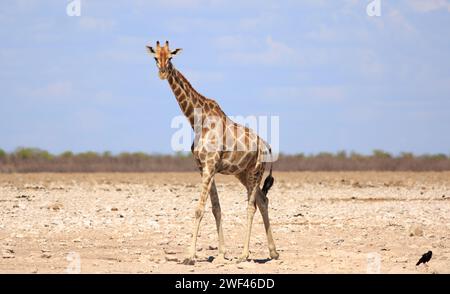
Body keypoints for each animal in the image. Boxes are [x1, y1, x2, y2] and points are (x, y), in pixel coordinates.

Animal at [147, 40, 278, 264]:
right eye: (156, 57)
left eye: (171, 57)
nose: (163, 72)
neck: (197, 121)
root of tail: (266, 145)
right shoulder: (204, 167)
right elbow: (216, 208)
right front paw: (221, 252)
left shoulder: (209, 165)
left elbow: (199, 209)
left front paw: (190, 256)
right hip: (242, 173)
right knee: (263, 200)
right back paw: (273, 252)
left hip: (255, 171)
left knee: (251, 206)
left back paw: (244, 254)